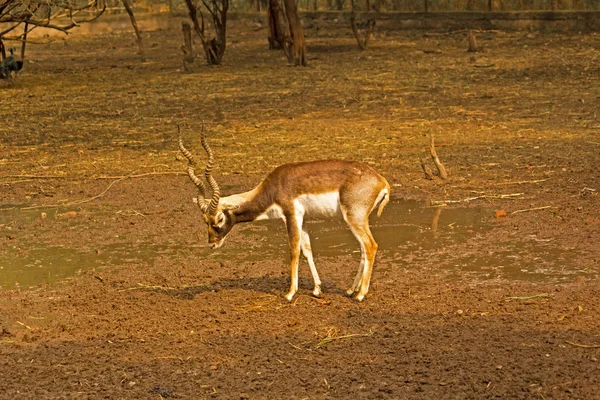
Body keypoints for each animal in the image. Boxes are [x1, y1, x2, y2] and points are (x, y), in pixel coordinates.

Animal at [178, 125, 392, 300]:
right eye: (204, 220)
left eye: (220, 218)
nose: (213, 244)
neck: (273, 188)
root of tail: (382, 181)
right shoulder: (303, 218)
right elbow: (307, 249)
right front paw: (316, 289)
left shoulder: (291, 215)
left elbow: (294, 249)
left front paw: (290, 293)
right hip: (356, 220)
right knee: (364, 248)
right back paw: (350, 290)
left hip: (354, 218)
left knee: (370, 246)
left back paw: (360, 295)